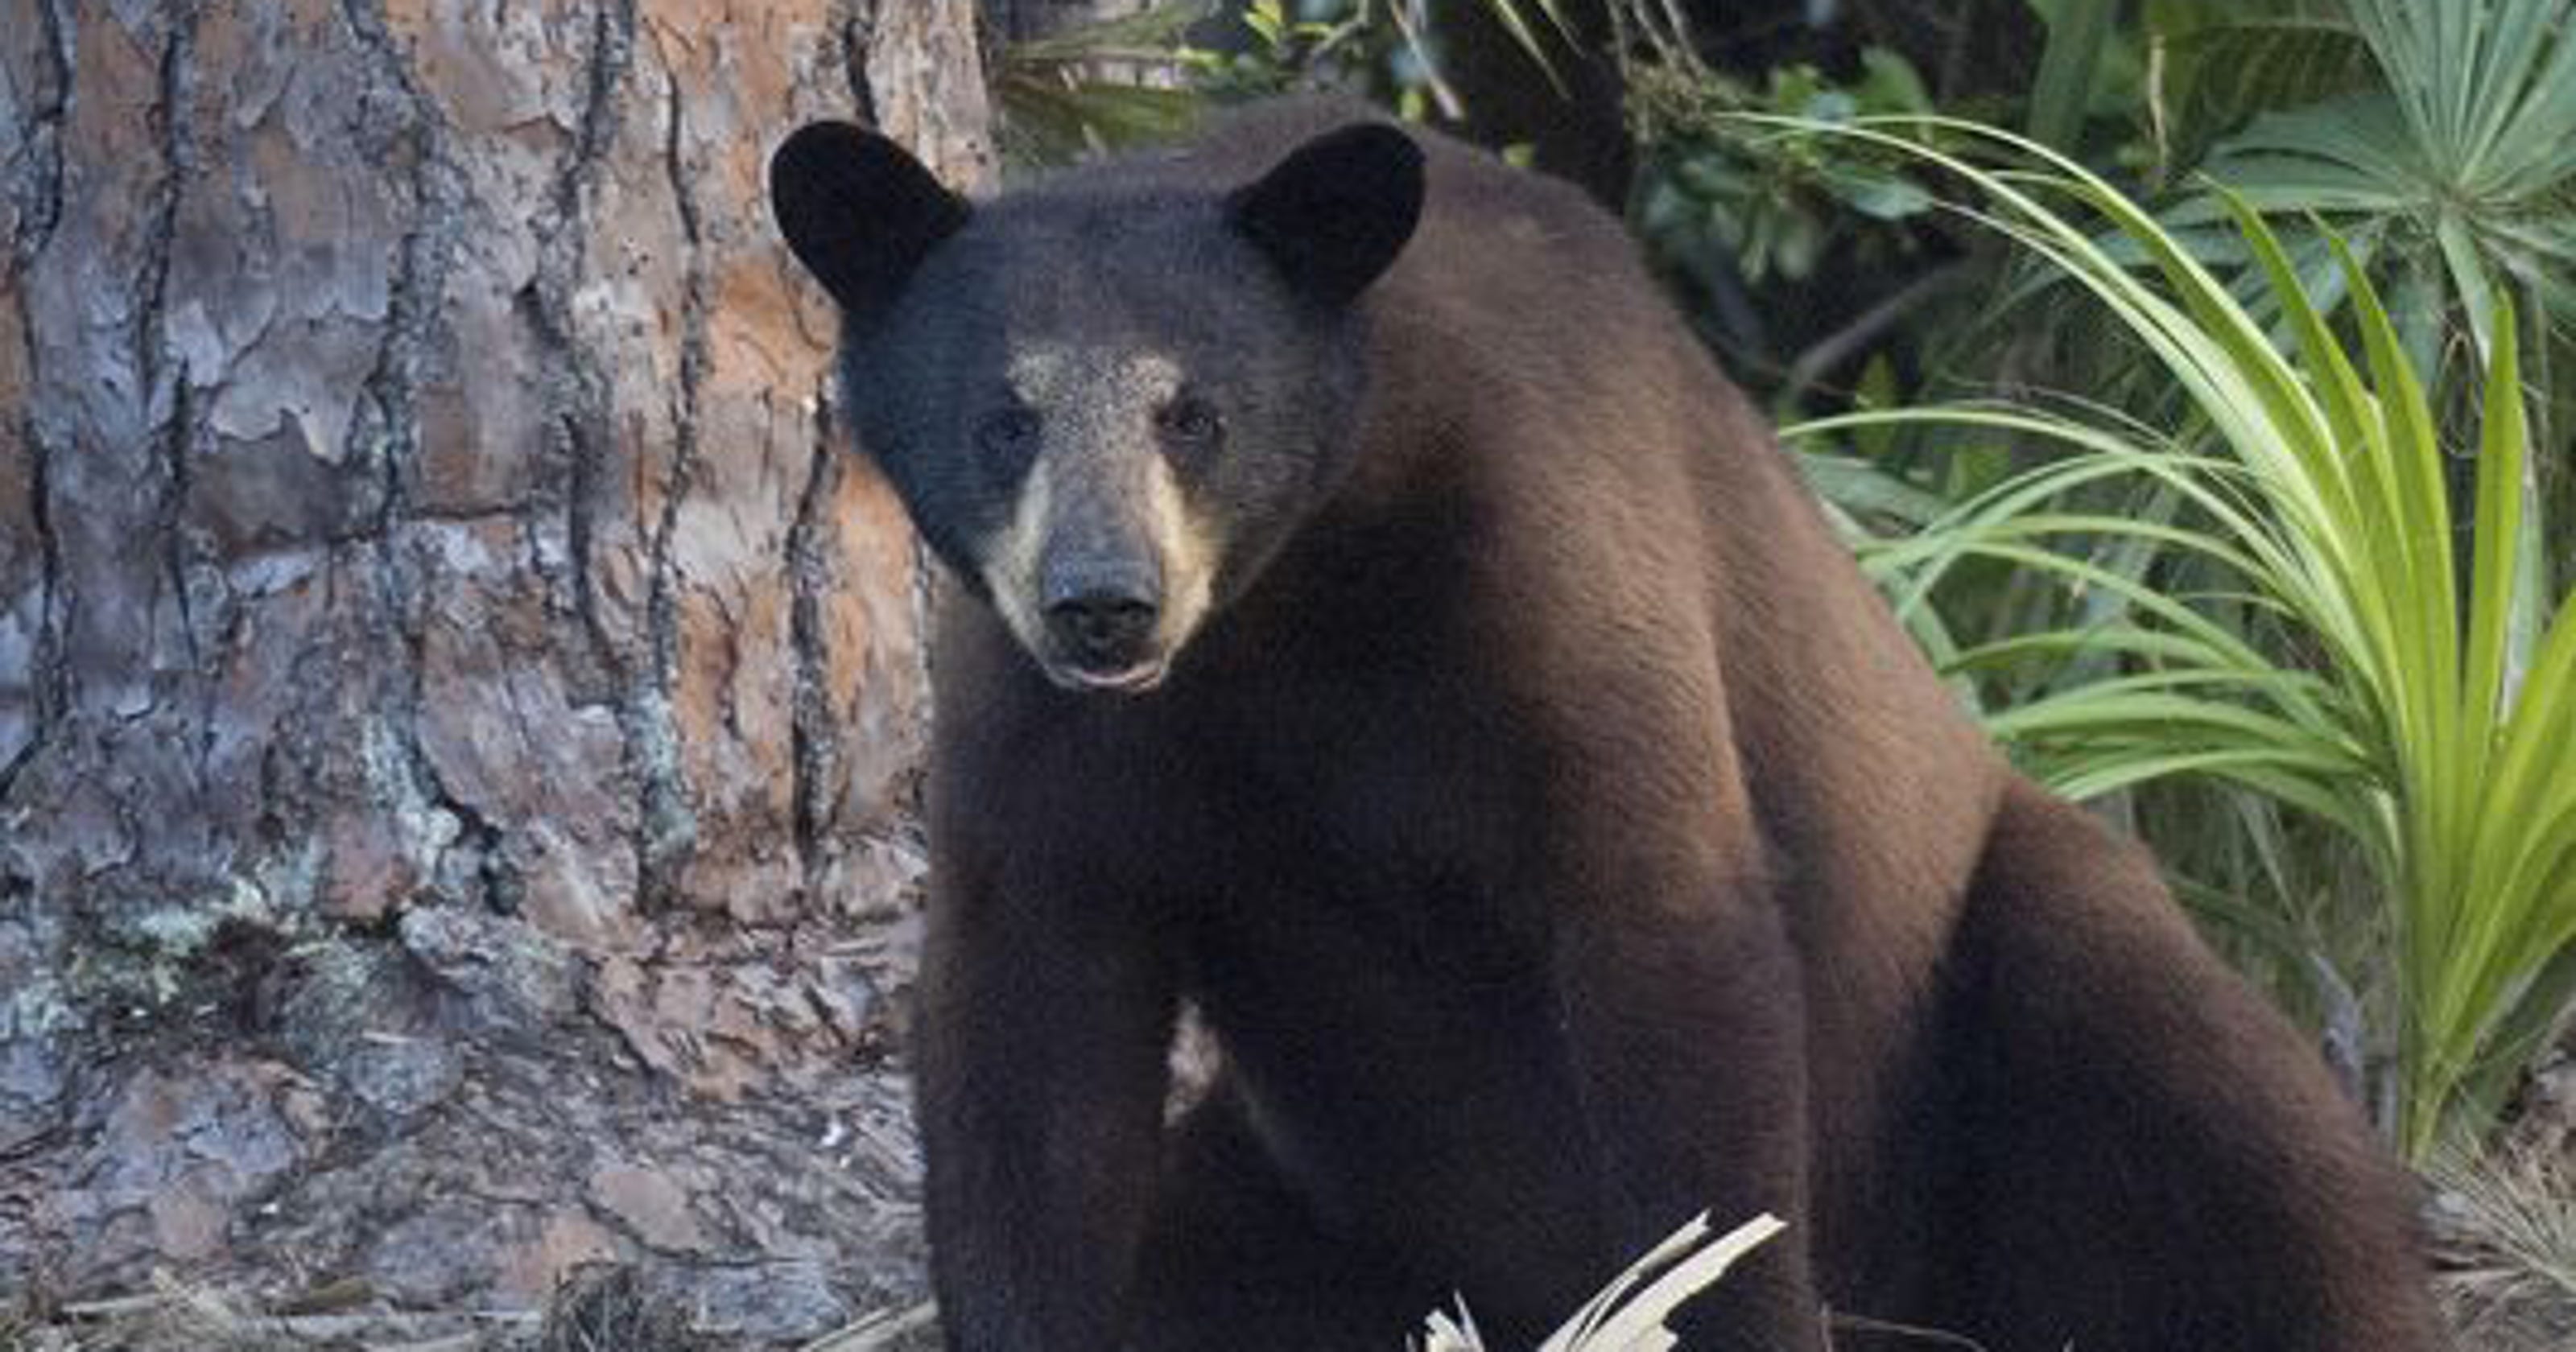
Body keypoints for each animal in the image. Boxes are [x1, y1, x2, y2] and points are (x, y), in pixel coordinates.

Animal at [768, 100, 2439, 1352]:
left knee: (2231, 1120)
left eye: (1196, 412)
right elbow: (1031, 1044)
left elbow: (1669, 959)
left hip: (2001, 955)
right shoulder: (1053, 744)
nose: (1103, 605)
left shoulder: (1554, 582)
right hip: (1307, 1191)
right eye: (1006, 415)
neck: (1296, 600)